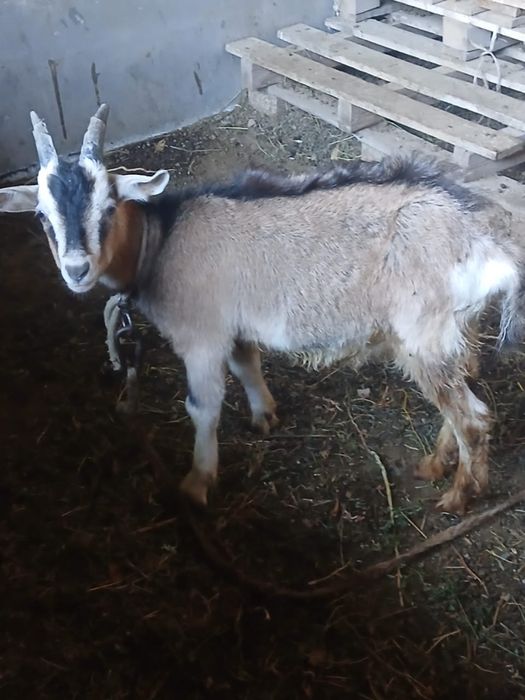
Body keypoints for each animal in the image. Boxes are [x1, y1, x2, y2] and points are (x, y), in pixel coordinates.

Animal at [1, 103, 523, 515]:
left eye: (108, 209)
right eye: (42, 216)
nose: (76, 270)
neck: (162, 239)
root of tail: (489, 246)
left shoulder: (201, 336)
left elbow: (202, 406)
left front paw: (196, 484)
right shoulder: (234, 327)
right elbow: (247, 364)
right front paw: (265, 415)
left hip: (424, 334)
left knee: (472, 417)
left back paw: (459, 495)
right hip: (454, 334)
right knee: (460, 395)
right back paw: (436, 464)